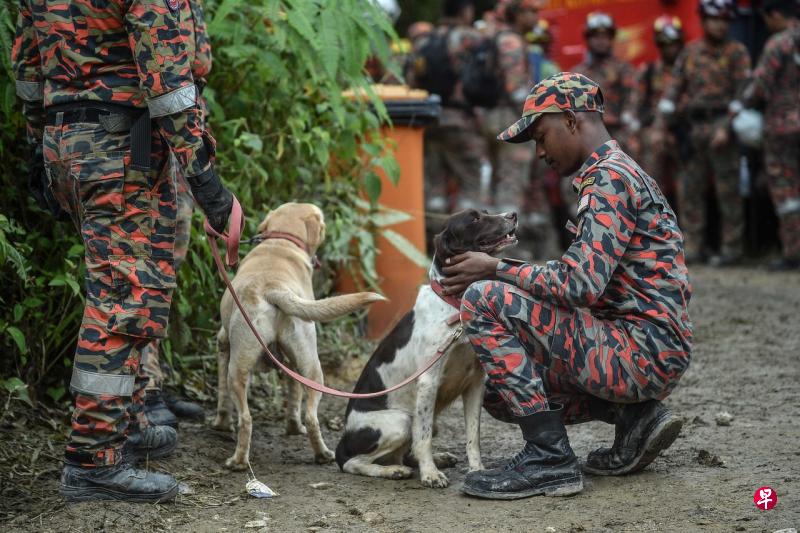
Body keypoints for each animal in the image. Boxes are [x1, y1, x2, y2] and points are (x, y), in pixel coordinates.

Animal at [211, 202, 386, 468]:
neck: (281, 241)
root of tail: (273, 289)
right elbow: (294, 396)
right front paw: (293, 427)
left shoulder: (223, 344)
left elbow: (222, 399)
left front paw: (221, 424)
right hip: (310, 366)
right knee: (308, 416)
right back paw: (322, 454)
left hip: (242, 367)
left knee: (248, 418)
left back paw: (239, 461)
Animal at [336, 208, 520, 486]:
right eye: (475, 218)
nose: (513, 214)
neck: (455, 305)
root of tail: (343, 440)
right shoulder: (428, 381)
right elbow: (422, 439)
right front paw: (430, 474)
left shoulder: (476, 382)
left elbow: (473, 436)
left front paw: (477, 470)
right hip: (401, 420)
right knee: (353, 462)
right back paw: (393, 471)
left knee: (406, 451)